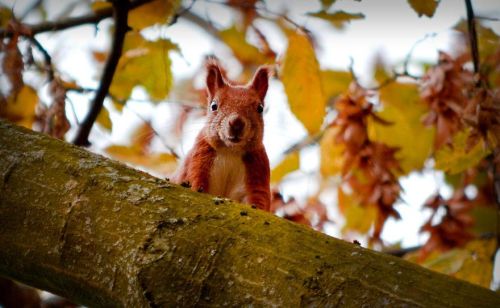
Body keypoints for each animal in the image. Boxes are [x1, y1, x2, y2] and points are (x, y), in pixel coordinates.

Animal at [174, 58, 272, 211]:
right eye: (214, 106)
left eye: (260, 108)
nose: (236, 123)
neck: (230, 151)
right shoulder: (197, 160)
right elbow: (194, 181)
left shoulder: (258, 171)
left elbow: (259, 199)